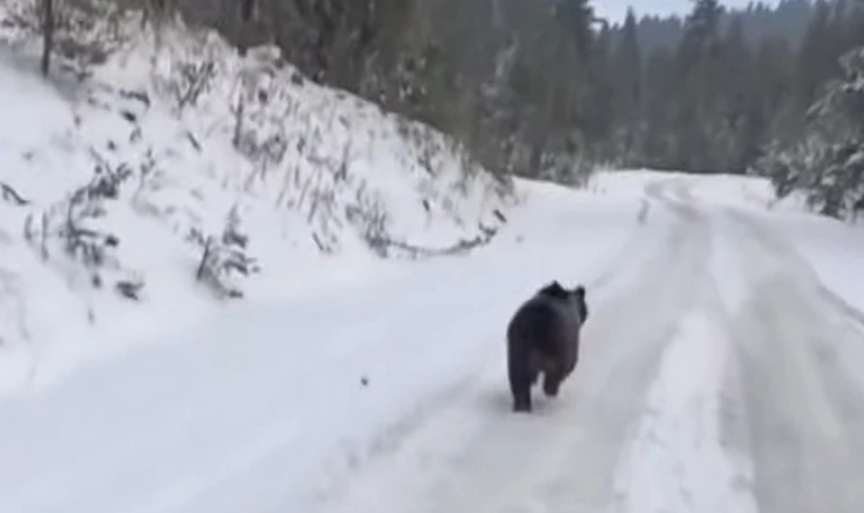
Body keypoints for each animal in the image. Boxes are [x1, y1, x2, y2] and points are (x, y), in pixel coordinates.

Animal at [506, 280, 588, 412]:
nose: (585, 314)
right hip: (556, 349)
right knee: (552, 377)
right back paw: (550, 393)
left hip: (517, 353)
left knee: (519, 384)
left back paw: (522, 407)